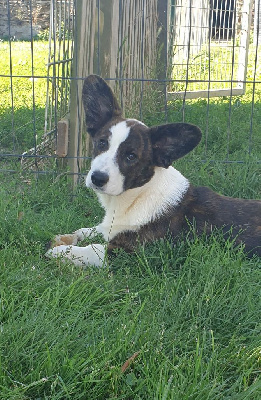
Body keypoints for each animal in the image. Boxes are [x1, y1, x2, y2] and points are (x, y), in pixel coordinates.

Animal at [45, 74, 258, 266]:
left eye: (131, 156)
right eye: (102, 143)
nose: (97, 178)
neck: (136, 196)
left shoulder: (125, 252)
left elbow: (91, 249)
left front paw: (60, 251)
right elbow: (93, 229)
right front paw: (72, 235)